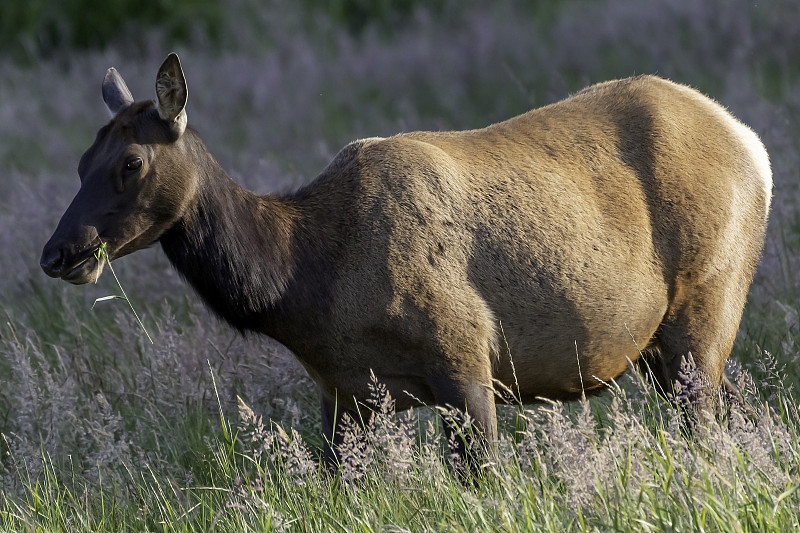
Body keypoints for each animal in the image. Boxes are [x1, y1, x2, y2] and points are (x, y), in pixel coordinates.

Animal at [42, 51, 768, 466]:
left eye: (131, 162)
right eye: (79, 161)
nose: (58, 253)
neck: (306, 284)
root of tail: (752, 143)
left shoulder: (465, 355)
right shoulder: (344, 395)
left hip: (706, 304)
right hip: (659, 349)